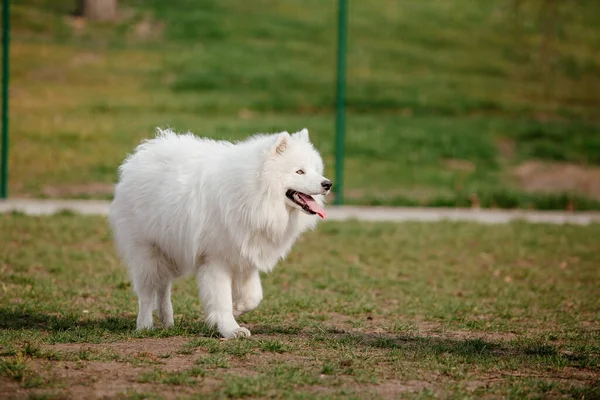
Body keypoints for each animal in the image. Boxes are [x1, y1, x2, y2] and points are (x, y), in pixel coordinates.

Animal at [110, 127, 330, 338]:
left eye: (315, 170)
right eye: (299, 171)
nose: (327, 184)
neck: (254, 193)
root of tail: (143, 153)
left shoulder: (244, 258)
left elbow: (254, 297)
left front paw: (237, 308)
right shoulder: (215, 260)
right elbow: (221, 299)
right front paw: (231, 330)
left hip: (171, 252)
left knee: (163, 287)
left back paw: (167, 320)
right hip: (147, 252)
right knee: (147, 293)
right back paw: (145, 325)